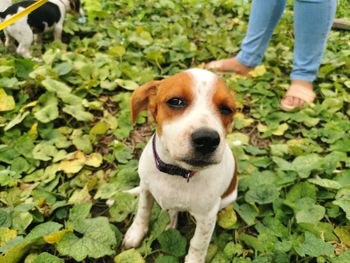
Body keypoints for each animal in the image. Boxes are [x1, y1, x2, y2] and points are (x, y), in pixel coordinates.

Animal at [123, 69, 238, 262]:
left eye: (226, 109)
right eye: (176, 101)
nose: (207, 139)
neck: (176, 172)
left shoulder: (207, 217)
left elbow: (198, 244)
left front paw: (194, 259)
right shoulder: (146, 189)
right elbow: (143, 212)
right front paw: (136, 232)